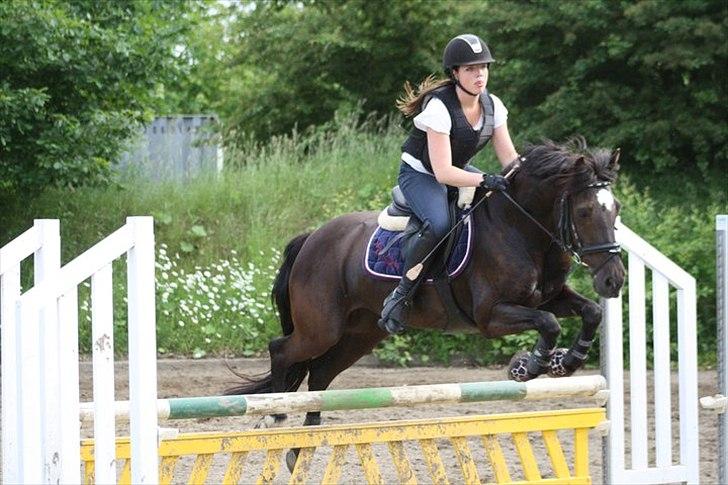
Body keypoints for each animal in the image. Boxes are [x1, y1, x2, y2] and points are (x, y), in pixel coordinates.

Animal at [229, 138, 624, 432]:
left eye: (616, 209)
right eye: (585, 212)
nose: (614, 279)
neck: (520, 227)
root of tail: (312, 238)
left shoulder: (549, 296)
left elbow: (589, 312)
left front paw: (565, 362)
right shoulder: (490, 315)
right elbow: (549, 323)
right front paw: (527, 366)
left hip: (360, 332)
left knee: (321, 372)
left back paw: (304, 440)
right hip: (321, 328)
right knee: (281, 350)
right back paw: (274, 415)